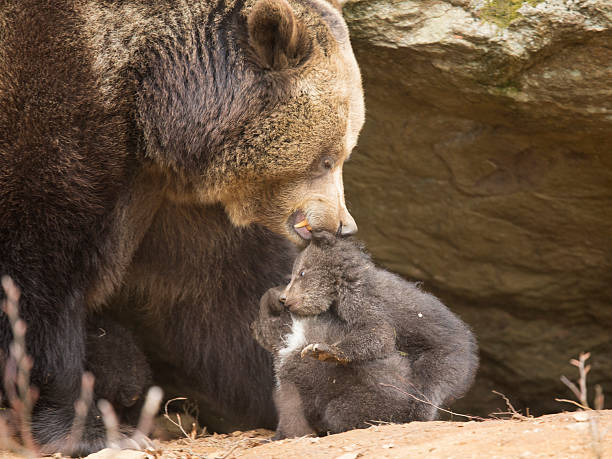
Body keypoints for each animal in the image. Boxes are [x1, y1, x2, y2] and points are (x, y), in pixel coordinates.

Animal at [0, 0, 364, 454]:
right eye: (326, 158)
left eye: (347, 150)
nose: (344, 225)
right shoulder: (52, 112)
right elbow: (38, 277)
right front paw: (84, 427)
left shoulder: (175, 208)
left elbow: (223, 297)